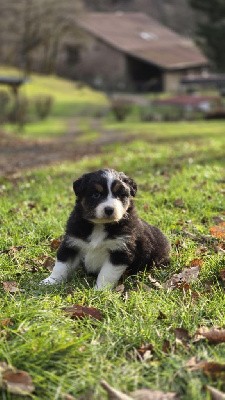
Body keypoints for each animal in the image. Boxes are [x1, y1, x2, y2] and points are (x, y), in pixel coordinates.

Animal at [41, 168, 170, 288]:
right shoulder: (71, 243)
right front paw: (51, 281)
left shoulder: (120, 251)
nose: (109, 209)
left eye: (120, 195)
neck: (100, 225)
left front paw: (100, 290)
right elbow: (61, 265)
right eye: (96, 195)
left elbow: (107, 274)